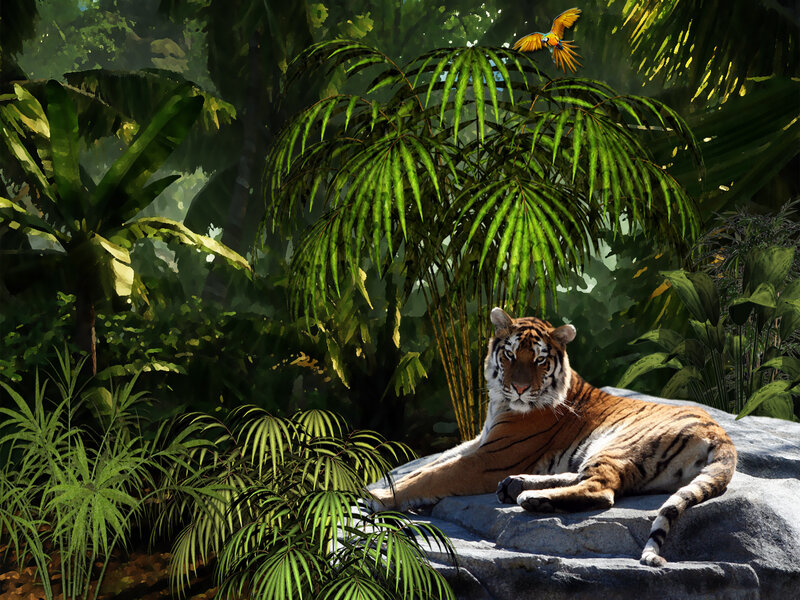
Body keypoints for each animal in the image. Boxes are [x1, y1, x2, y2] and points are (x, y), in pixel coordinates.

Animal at [370, 307, 737, 566]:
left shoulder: (490, 457)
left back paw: (531, 497)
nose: (519, 388)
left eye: (539, 360)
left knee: (602, 489)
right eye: (509, 355)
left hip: (617, 443)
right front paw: (379, 487)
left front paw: (378, 497)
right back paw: (516, 485)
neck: (500, 402)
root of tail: (722, 434)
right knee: (585, 478)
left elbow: (432, 475)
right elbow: (429, 466)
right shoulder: (479, 441)